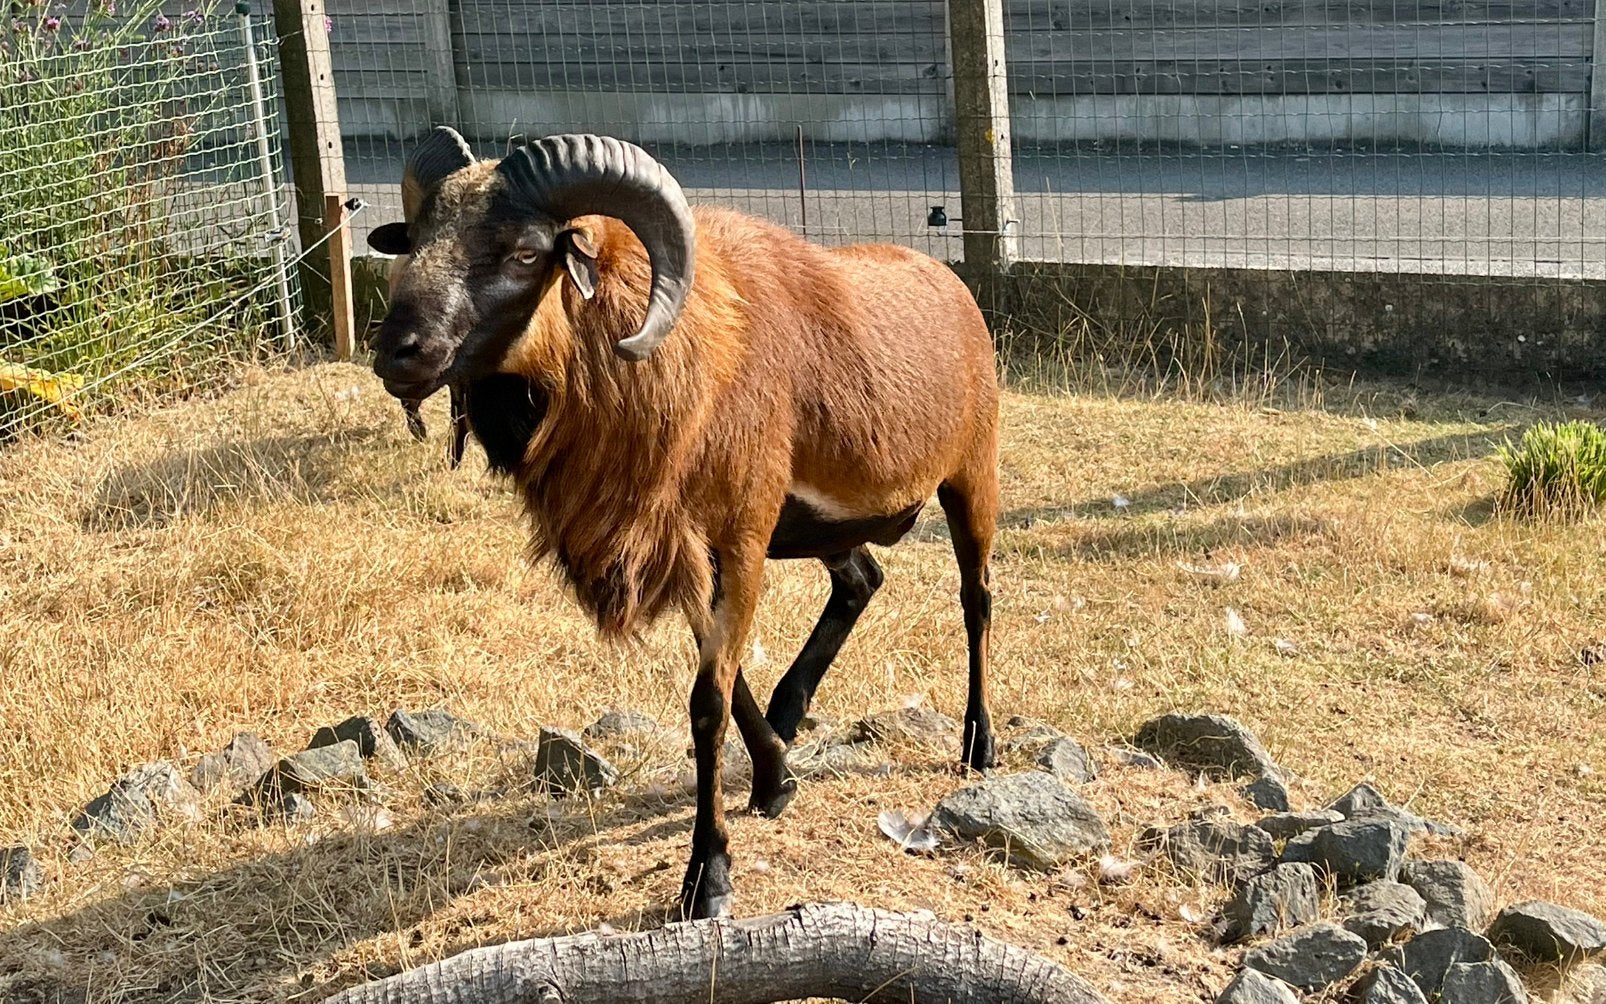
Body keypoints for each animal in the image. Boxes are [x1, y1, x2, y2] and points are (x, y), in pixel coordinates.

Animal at [365, 127, 1000, 920]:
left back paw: (980, 745)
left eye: (524, 252)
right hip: (826, 527)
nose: (397, 350)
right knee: (861, 580)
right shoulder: (694, 547)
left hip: (971, 474)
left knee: (975, 600)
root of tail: (950, 281)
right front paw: (776, 778)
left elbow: (707, 703)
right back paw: (793, 711)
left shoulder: (741, 536)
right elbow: (728, 681)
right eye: (416, 237)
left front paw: (709, 876)